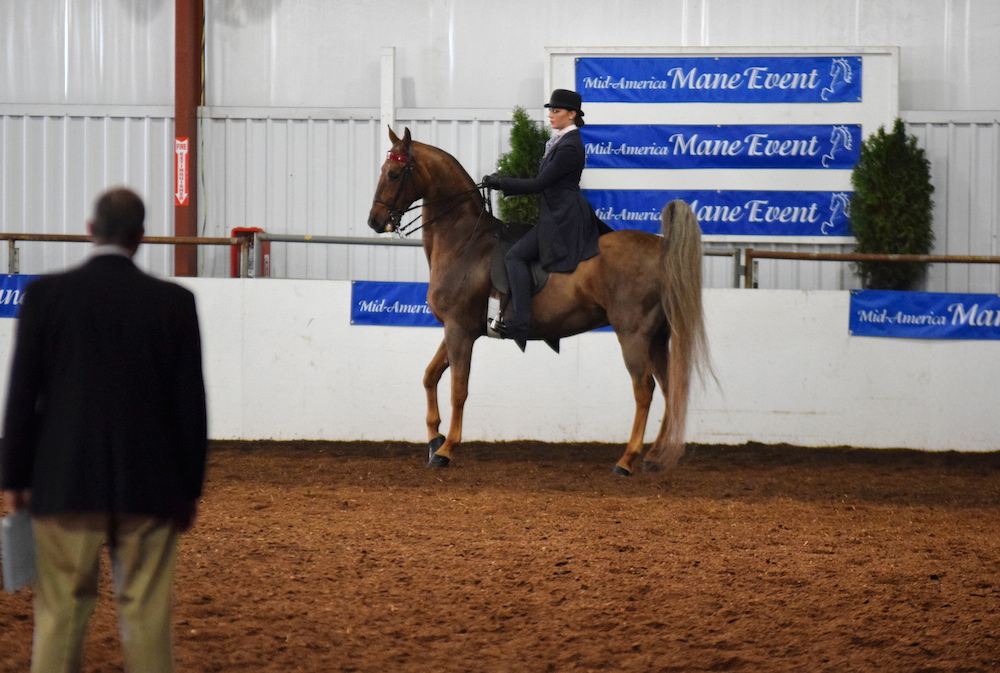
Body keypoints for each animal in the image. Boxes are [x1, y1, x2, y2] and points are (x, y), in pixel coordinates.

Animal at [370, 129, 712, 476]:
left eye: (394, 173)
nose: (375, 221)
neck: (464, 241)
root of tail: (661, 247)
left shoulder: (459, 331)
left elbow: (458, 390)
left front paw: (446, 449)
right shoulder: (457, 329)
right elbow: (430, 376)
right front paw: (433, 439)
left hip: (633, 334)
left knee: (644, 389)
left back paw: (626, 460)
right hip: (657, 336)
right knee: (670, 387)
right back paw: (655, 457)